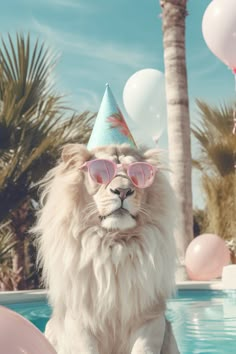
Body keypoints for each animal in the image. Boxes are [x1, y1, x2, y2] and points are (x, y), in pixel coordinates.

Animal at [33, 142, 179, 352]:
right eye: (101, 172)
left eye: (138, 174)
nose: (123, 191)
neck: (114, 245)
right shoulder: (79, 319)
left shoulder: (150, 317)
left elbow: (143, 348)